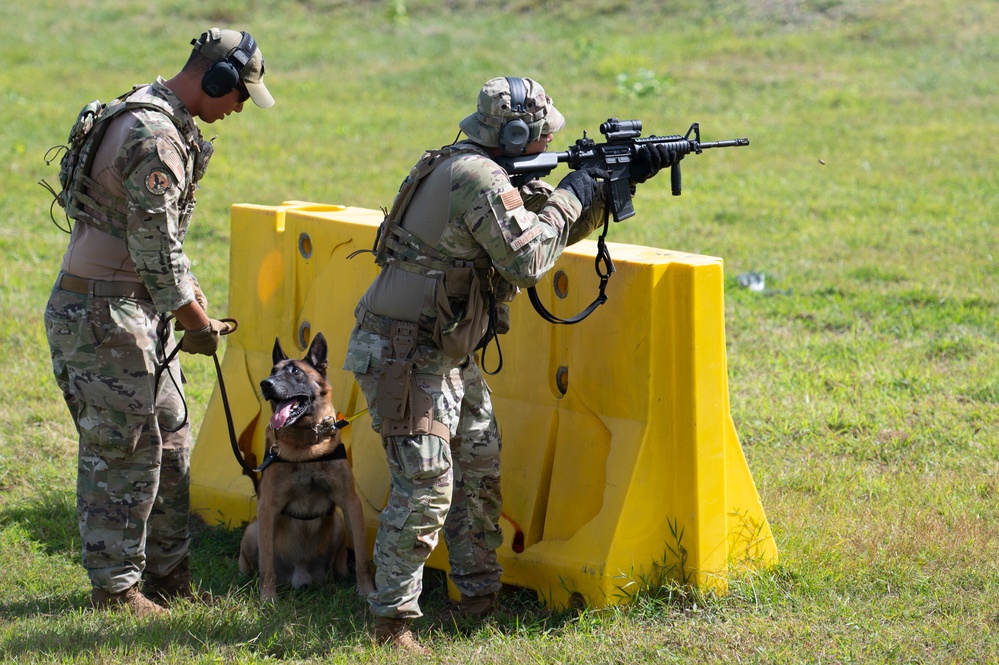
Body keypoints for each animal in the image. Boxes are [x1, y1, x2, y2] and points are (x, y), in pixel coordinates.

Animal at [237, 332, 376, 600]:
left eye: (295, 371)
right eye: (273, 371)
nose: (265, 384)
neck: (306, 445)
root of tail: (300, 575)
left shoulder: (350, 503)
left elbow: (363, 559)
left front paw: (366, 591)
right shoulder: (267, 507)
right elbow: (266, 564)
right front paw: (267, 597)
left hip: (339, 526)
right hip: (252, 531)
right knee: (252, 563)